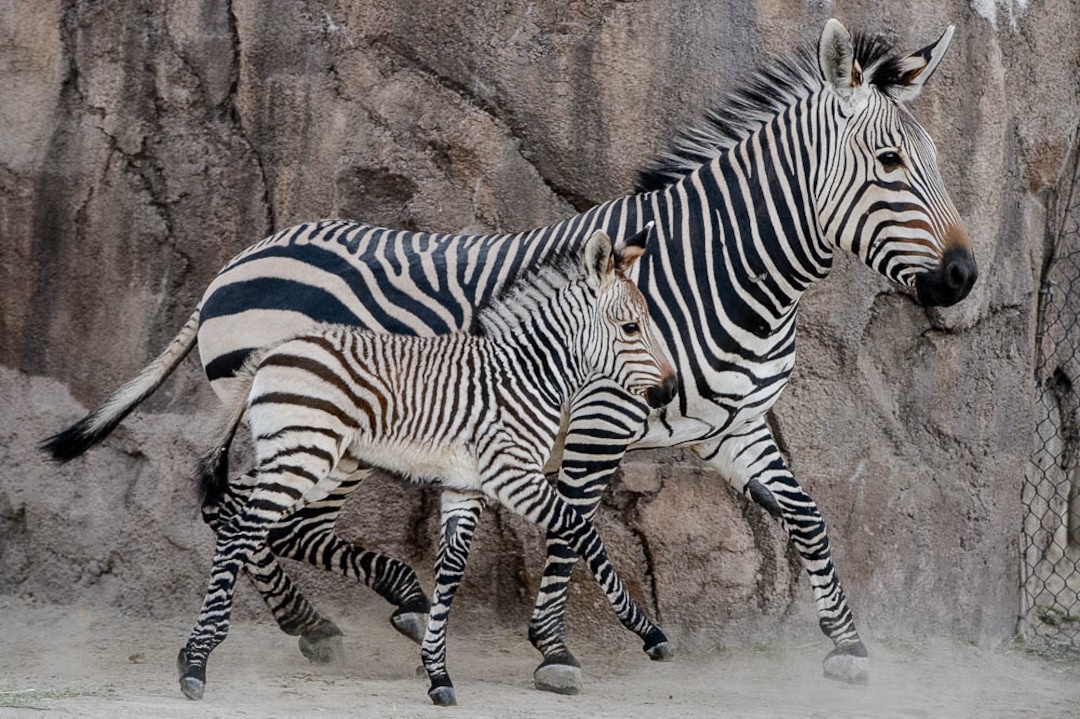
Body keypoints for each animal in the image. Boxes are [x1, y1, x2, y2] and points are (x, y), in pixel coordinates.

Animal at [177, 228, 679, 705]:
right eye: (631, 328)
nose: (671, 390)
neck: (527, 376)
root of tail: (272, 351)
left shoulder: (466, 486)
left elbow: (451, 570)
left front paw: (437, 670)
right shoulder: (512, 474)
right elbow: (582, 531)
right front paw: (649, 633)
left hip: (310, 458)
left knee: (246, 525)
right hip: (302, 456)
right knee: (240, 531)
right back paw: (197, 663)